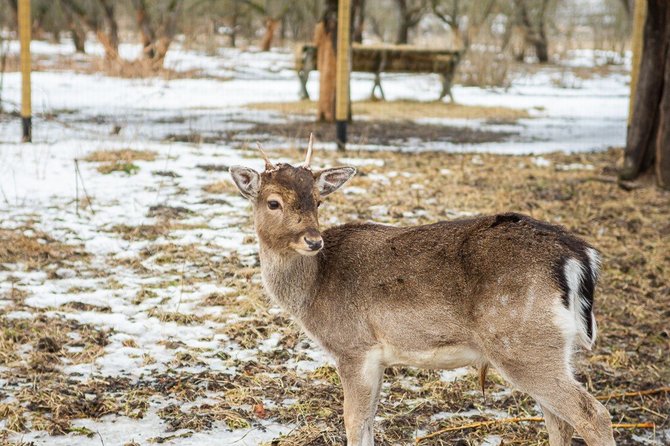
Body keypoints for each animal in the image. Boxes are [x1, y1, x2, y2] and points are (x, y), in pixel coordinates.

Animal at [228, 136, 616, 446]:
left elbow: (354, 423)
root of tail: (579, 255)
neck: (312, 292)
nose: (313, 240)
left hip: (521, 342)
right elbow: (368, 423)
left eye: (317, 201)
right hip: (552, 347)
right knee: (560, 421)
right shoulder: (377, 357)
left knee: (592, 414)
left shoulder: (353, 346)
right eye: (273, 202)